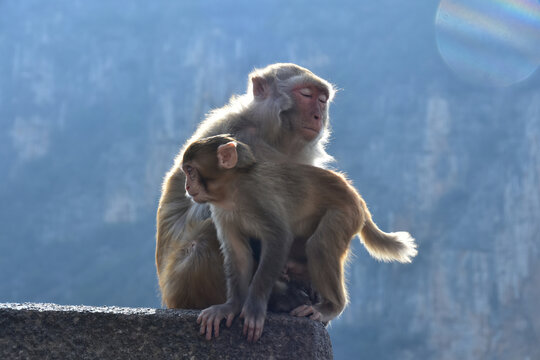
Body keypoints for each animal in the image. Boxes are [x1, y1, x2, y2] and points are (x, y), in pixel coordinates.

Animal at [154, 63, 338, 310]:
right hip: (185, 284)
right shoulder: (241, 139)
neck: (270, 135)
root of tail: (169, 298)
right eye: (306, 94)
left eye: (322, 99)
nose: (318, 116)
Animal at [181, 134, 418, 342]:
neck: (233, 190)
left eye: (190, 171)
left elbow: (279, 238)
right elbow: (238, 254)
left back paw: (331, 307)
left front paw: (254, 308)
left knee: (320, 245)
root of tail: (357, 198)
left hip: (345, 213)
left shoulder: (258, 195)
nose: (187, 186)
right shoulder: (221, 212)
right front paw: (230, 307)